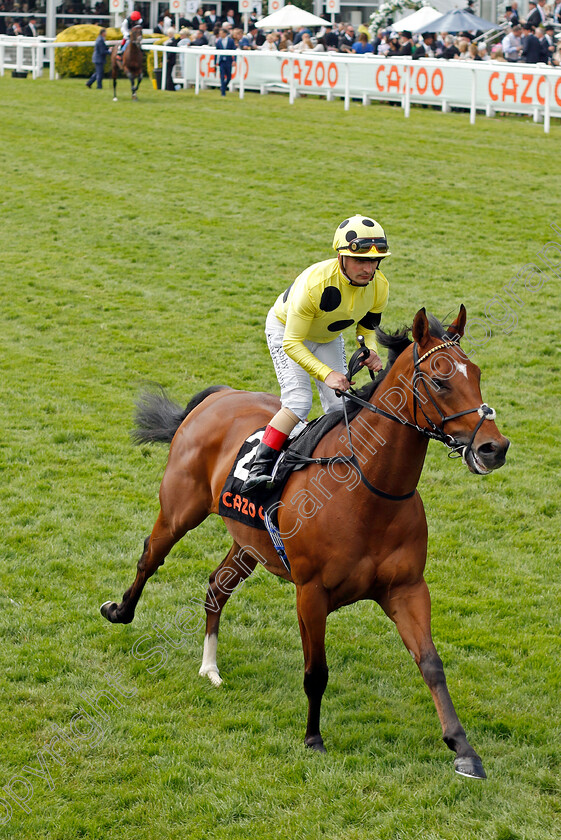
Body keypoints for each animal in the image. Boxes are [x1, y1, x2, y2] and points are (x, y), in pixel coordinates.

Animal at [99, 308, 508, 780]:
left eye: (476, 374)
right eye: (440, 381)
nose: (494, 447)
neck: (370, 492)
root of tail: (218, 397)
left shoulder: (407, 589)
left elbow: (432, 664)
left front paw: (463, 748)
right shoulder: (311, 593)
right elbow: (317, 671)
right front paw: (313, 738)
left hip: (249, 543)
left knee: (216, 586)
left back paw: (210, 667)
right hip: (180, 510)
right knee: (150, 557)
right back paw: (120, 611)